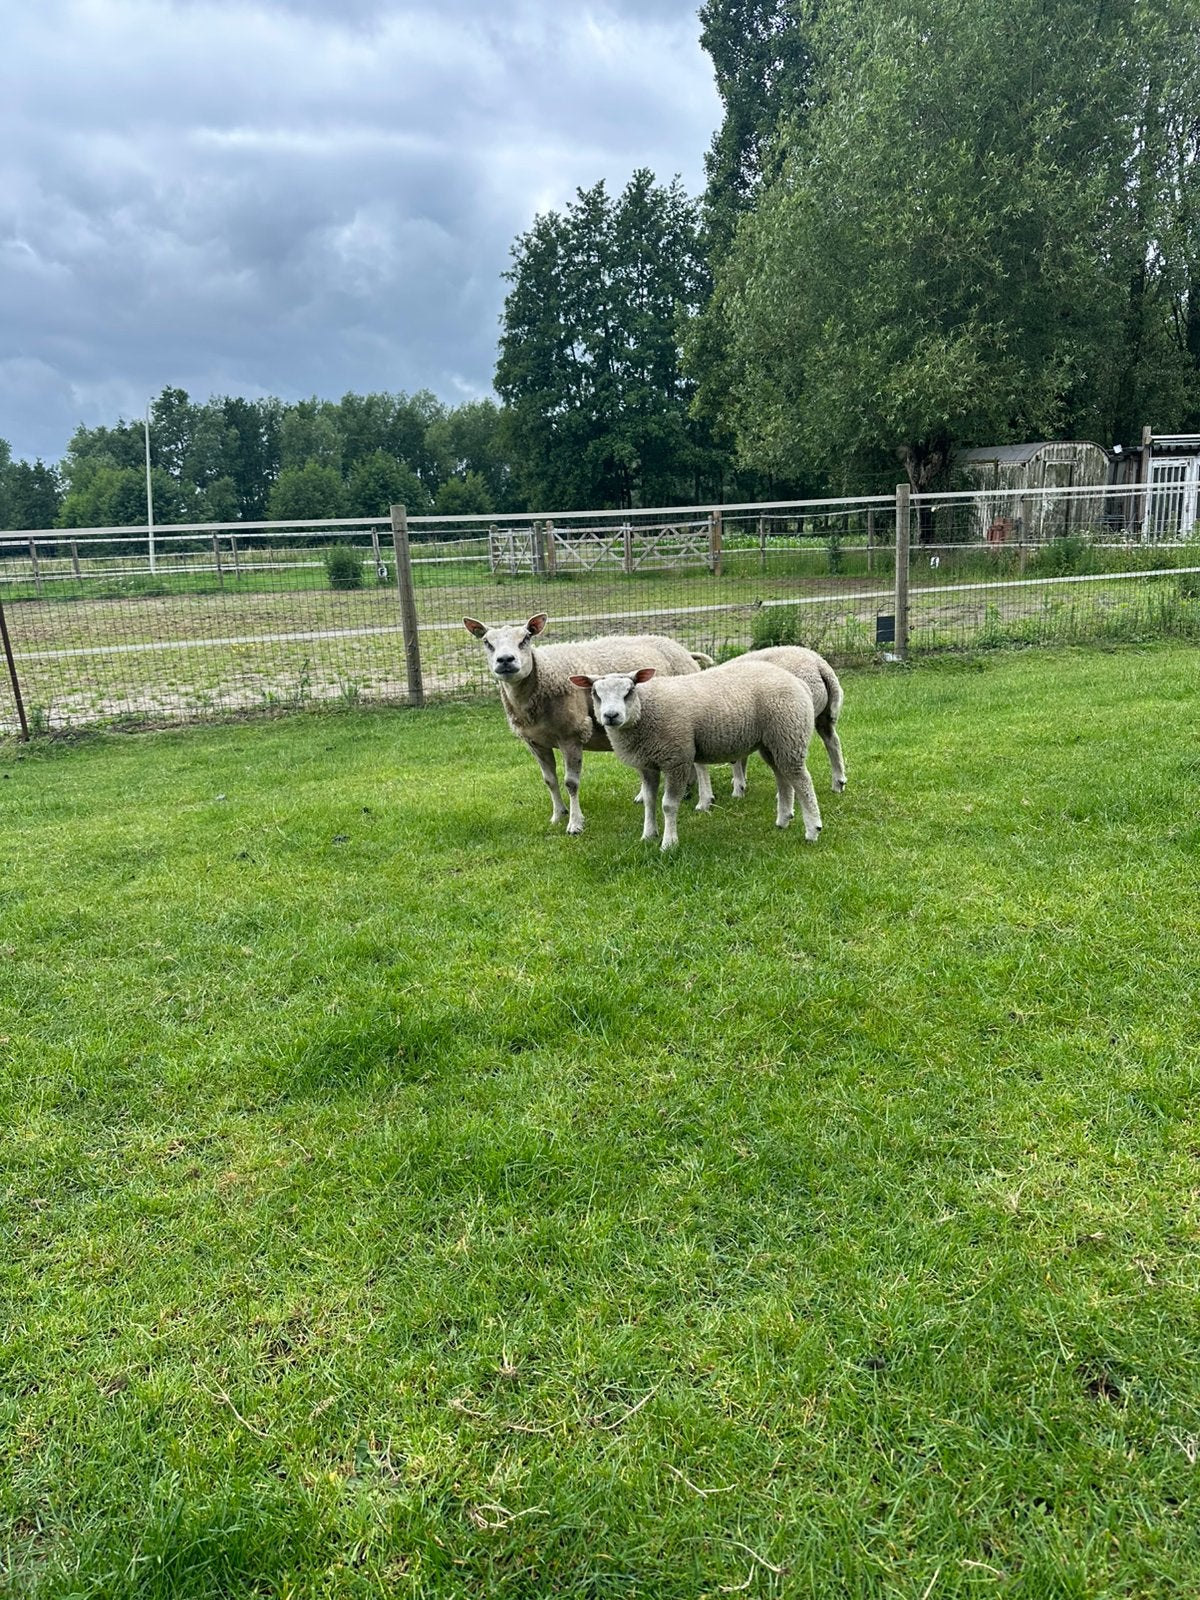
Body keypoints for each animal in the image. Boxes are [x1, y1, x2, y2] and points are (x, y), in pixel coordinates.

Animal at [463, 613, 715, 834]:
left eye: (525, 639)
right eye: (487, 642)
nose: (505, 660)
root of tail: (682, 650)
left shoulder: (571, 735)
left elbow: (571, 783)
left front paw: (575, 824)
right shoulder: (535, 742)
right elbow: (549, 780)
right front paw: (558, 815)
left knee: (700, 763)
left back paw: (704, 800)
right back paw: (677, 791)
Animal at [570, 658, 822, 850]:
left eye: (629, 691)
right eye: (595, 693)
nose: (611, 716)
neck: (645, 711)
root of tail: (796, 681)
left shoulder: (677, 759)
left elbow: (668, 805)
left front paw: (668, 843)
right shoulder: (647, 764)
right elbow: (649, 801)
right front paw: (648, 835)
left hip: (789, 732)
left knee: (802, 780)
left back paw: (813, 829)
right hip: (773, 743)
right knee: (783, 777)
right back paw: (783, 820)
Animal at [724, 646, 846, 798]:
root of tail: (819, 664)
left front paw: (738, 788)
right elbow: (742, 757)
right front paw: (741, 779)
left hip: (790, 724)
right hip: (823, 716)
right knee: (833, 741)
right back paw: (838, 782)